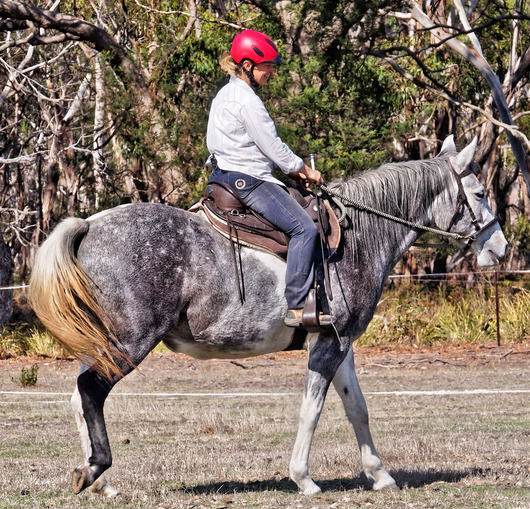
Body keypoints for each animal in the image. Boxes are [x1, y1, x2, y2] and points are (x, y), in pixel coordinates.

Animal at [27, 136, 504, 496]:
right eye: (480, 194)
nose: (498, 247)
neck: (358, 237)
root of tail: (90, 224)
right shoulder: (328, 346)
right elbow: (311, 410)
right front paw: (304, 479)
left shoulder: (339, 342)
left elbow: (357, 408)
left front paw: (380, 474)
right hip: (129, 342)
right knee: (90, 390)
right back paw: (95, 468)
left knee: (79, 396)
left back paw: (98, 478)